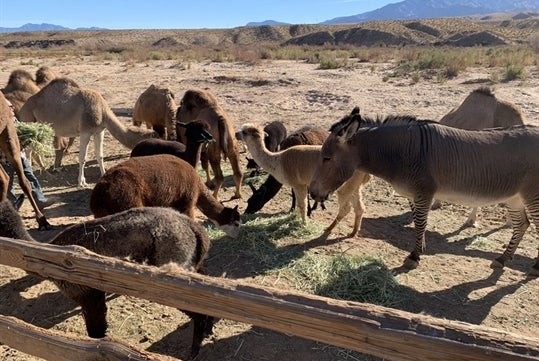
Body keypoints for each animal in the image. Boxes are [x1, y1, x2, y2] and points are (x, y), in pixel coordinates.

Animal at [0, 200, 215, 358]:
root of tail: (193, 227)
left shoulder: (85, 293)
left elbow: (96, 333)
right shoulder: (94, 293)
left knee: (197, 308)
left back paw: (194, 351)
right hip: (192, 264)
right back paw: (208, 331)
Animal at [19, 77, 158, 187]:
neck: (102, 111)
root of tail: (22, 109)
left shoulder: (99, 131)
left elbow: (99, 155)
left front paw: (103, 175)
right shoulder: (85, 131)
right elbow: (82, 157)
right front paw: (81, 182)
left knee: (30, 150)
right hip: (29, 121)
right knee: (29, 150)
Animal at [90, 153, 240, 238]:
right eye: (237, 223)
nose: (237, 236)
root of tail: (101, 190)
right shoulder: (188, 201)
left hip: (103, 213)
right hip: (127, 200)